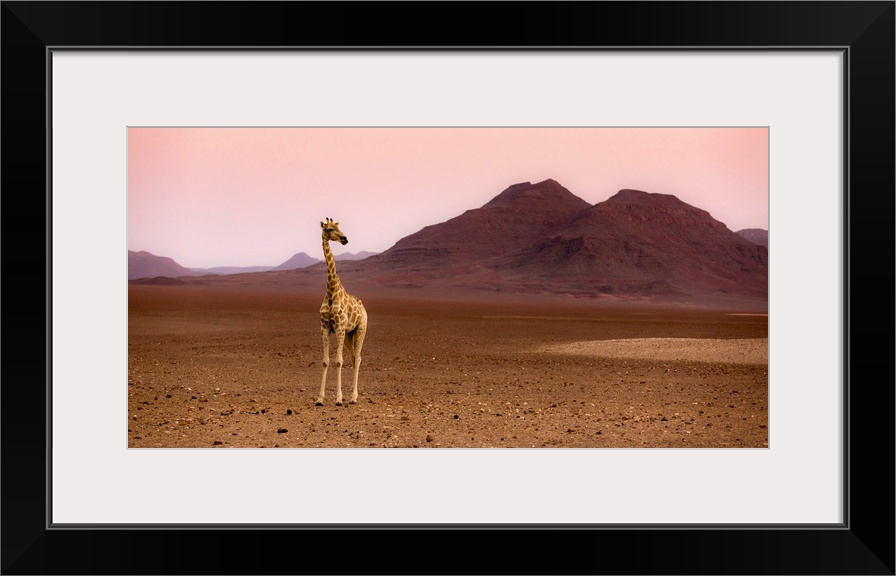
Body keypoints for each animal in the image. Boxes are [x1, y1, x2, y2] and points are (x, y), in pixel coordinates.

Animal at [318, 218, 368, 408]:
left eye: (338, 227)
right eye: (329, 229)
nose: (345, 239)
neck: (331, 291)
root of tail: (363, 307)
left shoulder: (338, 328)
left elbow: (339, 361)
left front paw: (338, 399)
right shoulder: (325, 328)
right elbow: (326, 361)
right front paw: (320, 399)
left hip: (360, 330)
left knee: (358, 358)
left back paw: (353, 397)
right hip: (349, 334)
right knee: (354, 357)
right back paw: (351, 396)